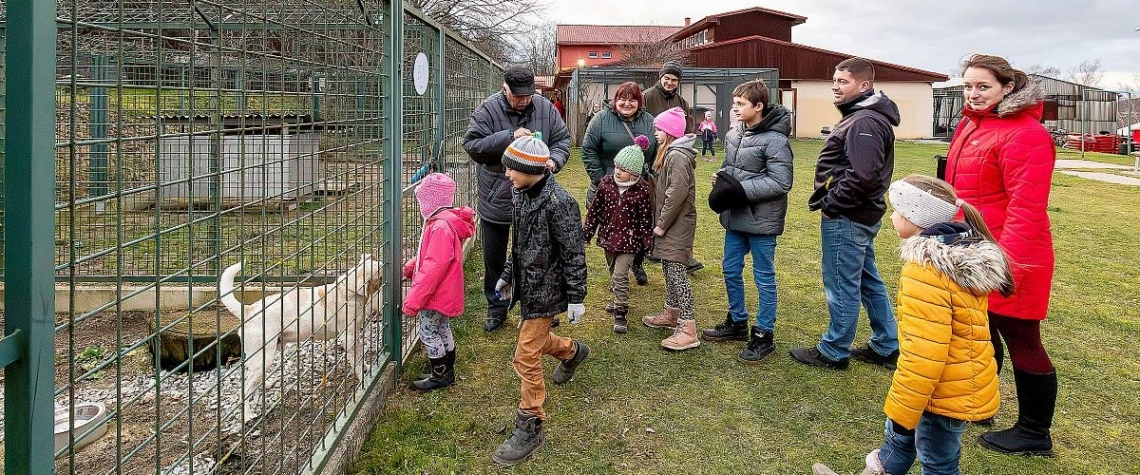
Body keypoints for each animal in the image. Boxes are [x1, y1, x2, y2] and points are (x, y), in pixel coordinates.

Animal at [220, 254, 385, 419]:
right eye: (381, 276)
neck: (348, 292)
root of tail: (249, 310)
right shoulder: (348, 338)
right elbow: (356, 361)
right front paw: (362, 379)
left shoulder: (355, 336)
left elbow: (361, 355)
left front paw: (367, 368)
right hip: (263, 357)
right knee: (244, 390)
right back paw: (247, 415)